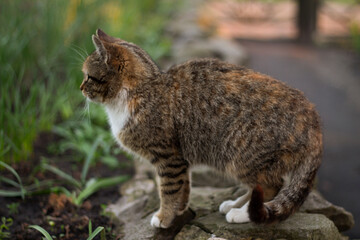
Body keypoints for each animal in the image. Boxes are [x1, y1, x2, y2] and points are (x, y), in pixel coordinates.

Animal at [80, 29, 322, 228]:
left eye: (89, 76)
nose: (80, 87)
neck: (143, 89)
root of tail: (313, 118)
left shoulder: (168, 157)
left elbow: (168, 189)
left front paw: (164, 217)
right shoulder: (180, 158)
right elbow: (183, 186)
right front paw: (180, 209)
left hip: (240, 155)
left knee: (272, 185)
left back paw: (242, 213)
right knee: (260, 188)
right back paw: (234, 205)